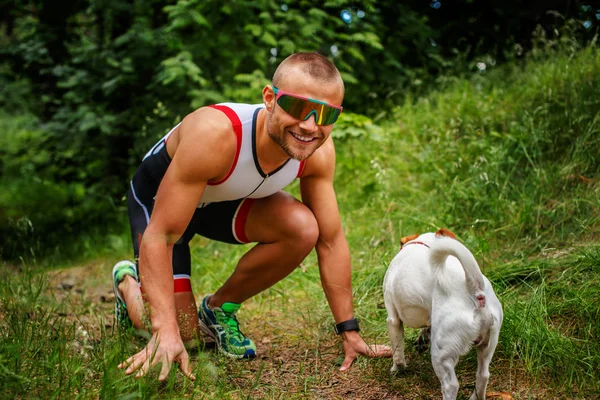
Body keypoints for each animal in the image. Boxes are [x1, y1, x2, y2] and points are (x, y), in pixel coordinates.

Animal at [382, 228, 504, 400]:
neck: (425, 243)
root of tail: (475, 291)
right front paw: (422, 339)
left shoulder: (393, 319)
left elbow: (397, 350)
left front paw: (397, 369)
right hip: (488, 344)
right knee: (483, 375)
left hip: (441, 353)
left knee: (451, 385)